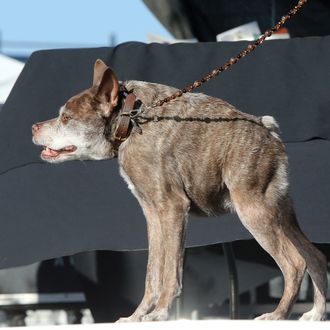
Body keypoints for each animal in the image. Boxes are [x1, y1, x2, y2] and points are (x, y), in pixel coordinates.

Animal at [31, 58, 328, 320]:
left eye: (66, 118)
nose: (33, 126)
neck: (130, 120)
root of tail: (269, 131)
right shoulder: (153, 214)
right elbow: (153, 273)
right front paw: (136, 317)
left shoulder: (173, 207)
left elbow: (171, 272)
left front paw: (160, 313)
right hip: (280, 211)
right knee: (315, 256)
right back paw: (314, 314)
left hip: (253, 210)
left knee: (295, 263)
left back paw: (278, 315)